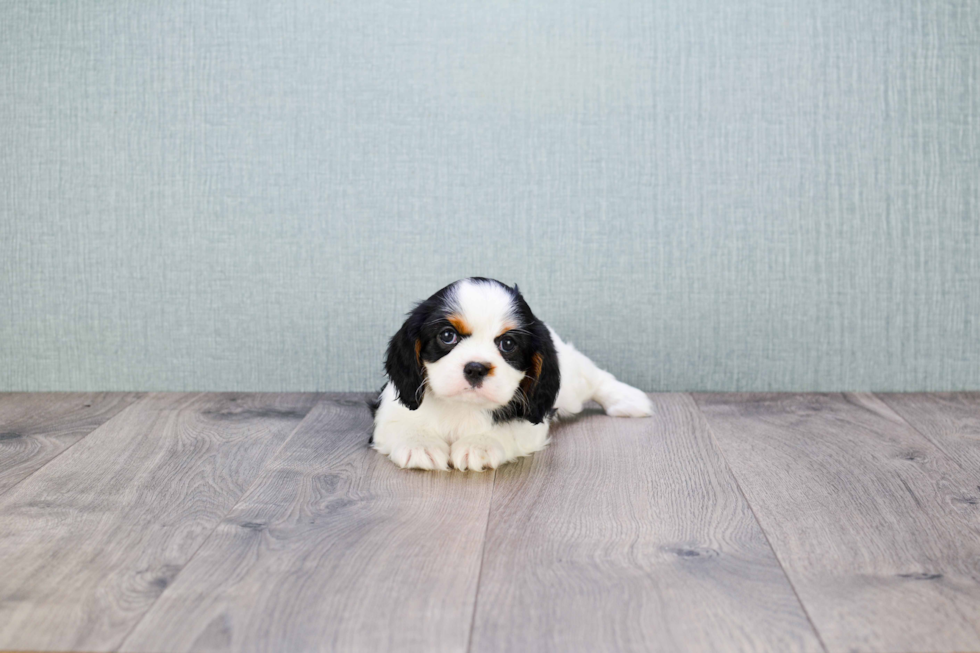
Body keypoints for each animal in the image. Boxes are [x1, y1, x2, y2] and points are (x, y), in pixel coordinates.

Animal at [372, 276, 656, 468]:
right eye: (447, 336)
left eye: (507, 344)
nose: (476, 368)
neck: (463, 407)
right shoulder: (390, 410)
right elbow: (400, 424)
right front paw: (420, 444)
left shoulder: (531, 419)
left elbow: (507, 429)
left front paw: (478, 444)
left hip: (572, 386)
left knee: (594, 377)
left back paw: (629, 400)